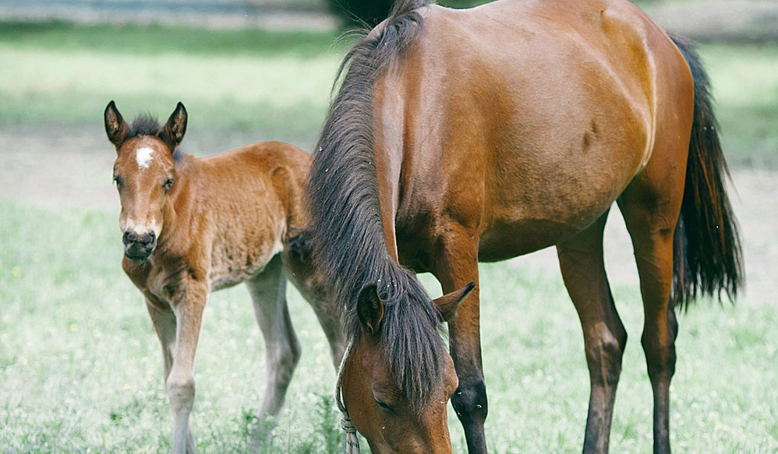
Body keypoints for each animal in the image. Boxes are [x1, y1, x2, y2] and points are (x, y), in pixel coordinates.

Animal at [104, 101, 344, 452]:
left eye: (168, 180)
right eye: (117, 178)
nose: (138, 239)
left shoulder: (193, 292)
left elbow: (182, 384)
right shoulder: (156, 302)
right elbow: (169, 376)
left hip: (310, 271)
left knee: (340, 347)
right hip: (266, 272)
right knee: (284, 351)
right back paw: (256, 442)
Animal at [304, 0, 740, 454]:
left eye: (445, 390)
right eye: (382, 400)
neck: (413, 105)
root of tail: (659, 38)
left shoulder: (457, 250)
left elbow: (473, 394)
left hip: (654, 220)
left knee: (659, 346)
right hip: (579, 230)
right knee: (605, 343)